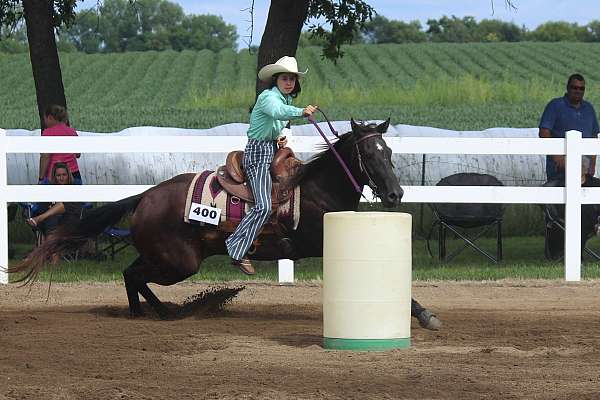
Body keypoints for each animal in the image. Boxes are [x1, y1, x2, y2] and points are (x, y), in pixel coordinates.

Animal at [9, 119, 440, 332]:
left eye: (389, 151)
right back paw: (158, 314)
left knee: (132, 274)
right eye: (370, 153)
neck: (316, 190)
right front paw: (425, 316)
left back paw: (157, 312)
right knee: (133, 275)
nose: (396, 195)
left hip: (169, 259)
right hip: (179, 262)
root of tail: (144, 197)